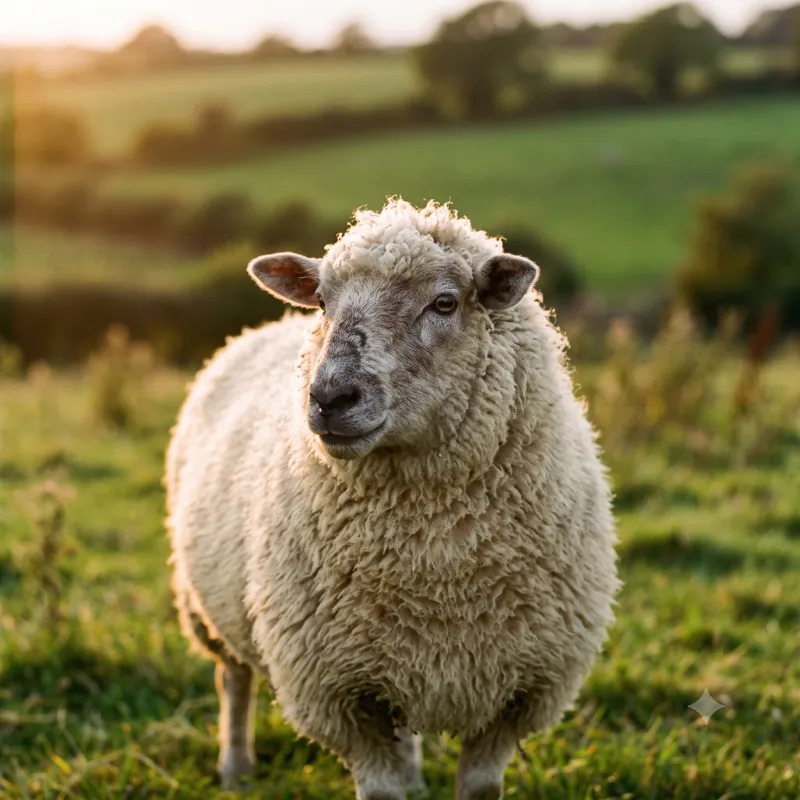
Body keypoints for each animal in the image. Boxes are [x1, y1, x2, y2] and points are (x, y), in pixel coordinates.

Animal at [165, 198, 619, 800]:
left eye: (445, 302)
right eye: (322, 301)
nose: (329, 396)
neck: (434, 558)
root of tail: (259, 328)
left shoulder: (519, 691)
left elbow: (479, 787)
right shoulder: (341, 692)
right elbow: (379, 789)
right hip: (208, 608)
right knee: (232, 679)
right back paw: (236, 768)